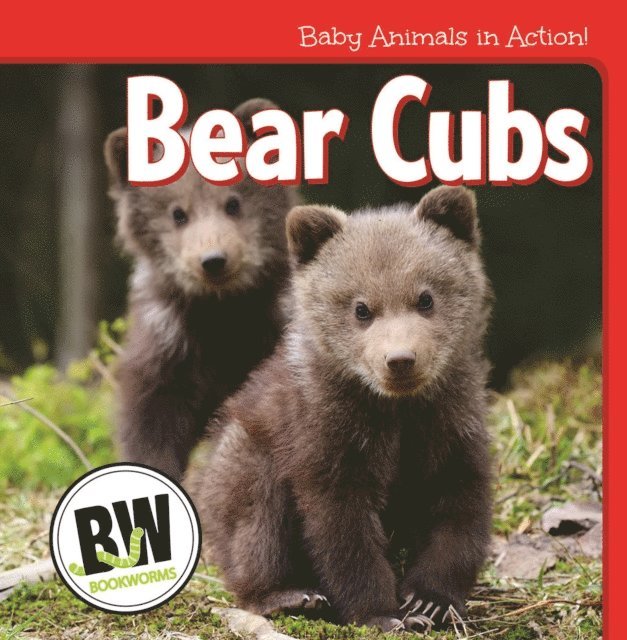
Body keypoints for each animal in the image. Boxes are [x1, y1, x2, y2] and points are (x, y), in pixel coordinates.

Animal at [104, 98, 298, 481]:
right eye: (178, 213)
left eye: (233, 203)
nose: (214, 260)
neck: (220, 314)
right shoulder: (168, 346)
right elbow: (151, 424)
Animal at [186, 185, 493, 632]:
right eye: (361, 308)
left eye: (426, 298)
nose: (400, 360)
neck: (395, 409)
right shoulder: (328, 432)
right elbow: (342, 528)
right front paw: (381, 612)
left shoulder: (449, 419)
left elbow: (459, 505)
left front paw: (429, 600)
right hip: (245, 454)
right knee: (256, 519)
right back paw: (289, 595)